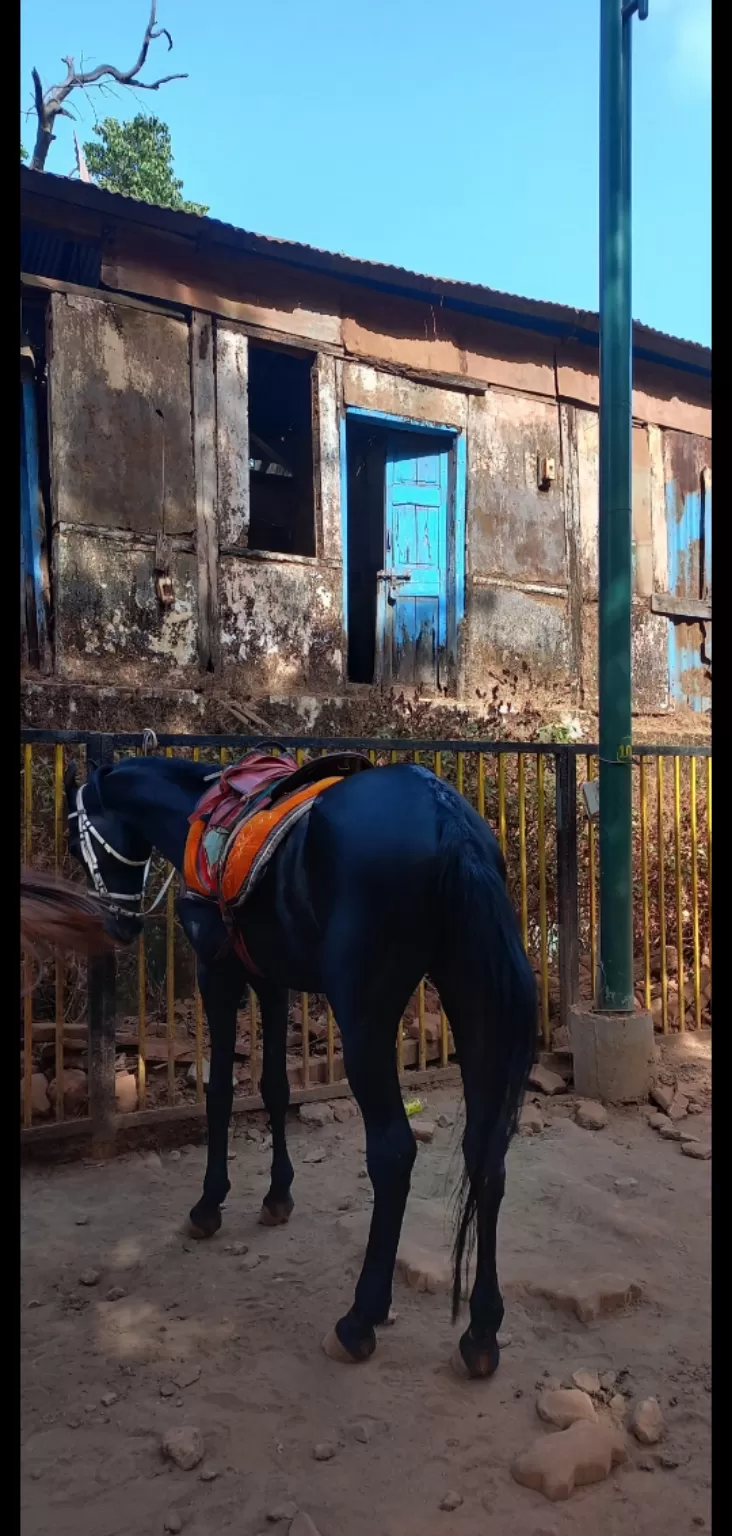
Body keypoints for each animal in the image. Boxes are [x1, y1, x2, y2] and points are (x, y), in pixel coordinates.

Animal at [65, 749, 534, 1376]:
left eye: (76, 837)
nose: (118, 925)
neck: (191, 813)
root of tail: (447, 818)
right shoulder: (271, 977)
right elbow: (273, 1087)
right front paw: (277, 1195)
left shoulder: (219, 973)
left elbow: (220, 1091)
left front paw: (210, 1203)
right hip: (470, 994)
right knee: (487, 1155)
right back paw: (481, 1330)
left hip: (364, 1015)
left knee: (394, 1151)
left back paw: (360, 1319)